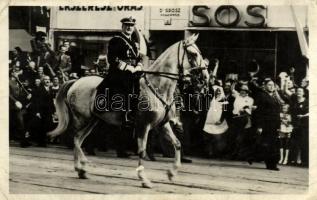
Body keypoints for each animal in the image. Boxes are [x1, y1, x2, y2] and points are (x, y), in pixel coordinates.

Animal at [47, 33, 207, 188]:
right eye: (193, 54)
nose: (205, 77)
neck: (158, 87)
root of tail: (77, 81)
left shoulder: (163, 124)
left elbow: (177, 144)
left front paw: (172, 173)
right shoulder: (143, 125)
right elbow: (142, 151)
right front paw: (144, 179)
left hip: (93, 120)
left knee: (79, 139)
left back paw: (81, 170)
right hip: (82, 118)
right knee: (75, 139)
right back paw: (82, 166)